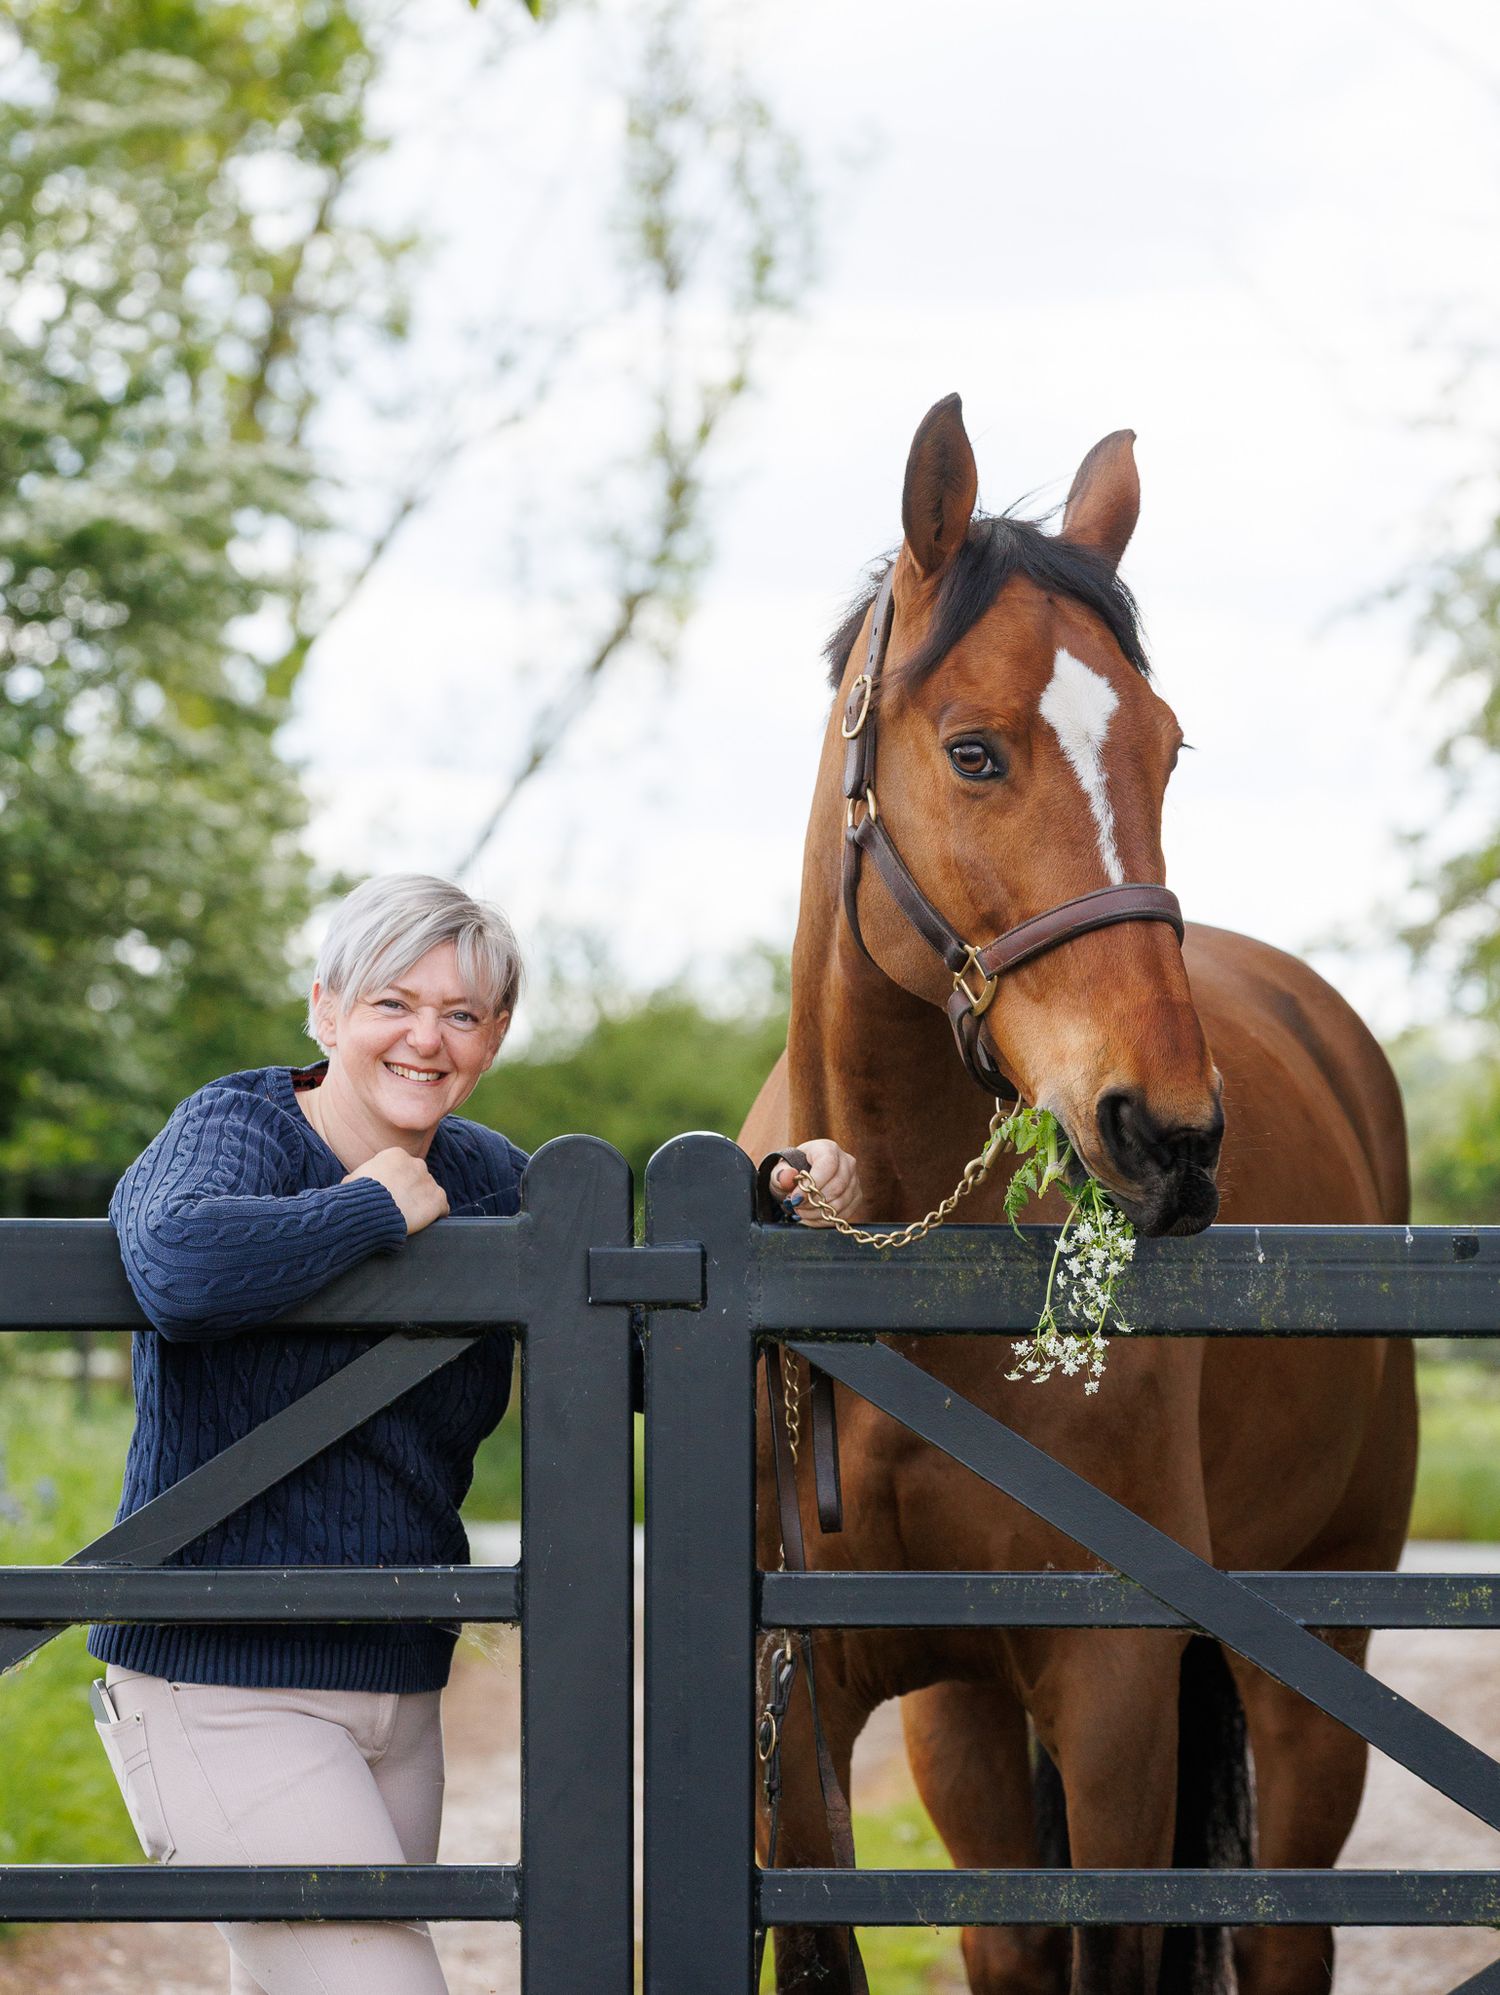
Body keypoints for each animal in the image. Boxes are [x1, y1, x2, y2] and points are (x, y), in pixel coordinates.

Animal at [740, 395, 1414, 1995]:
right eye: (974, 751)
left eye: (1168, 751)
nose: (1168, 1134)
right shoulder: (800, 1720)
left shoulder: (1114, 1688)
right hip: (969, 1717)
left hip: (1315, 1659)